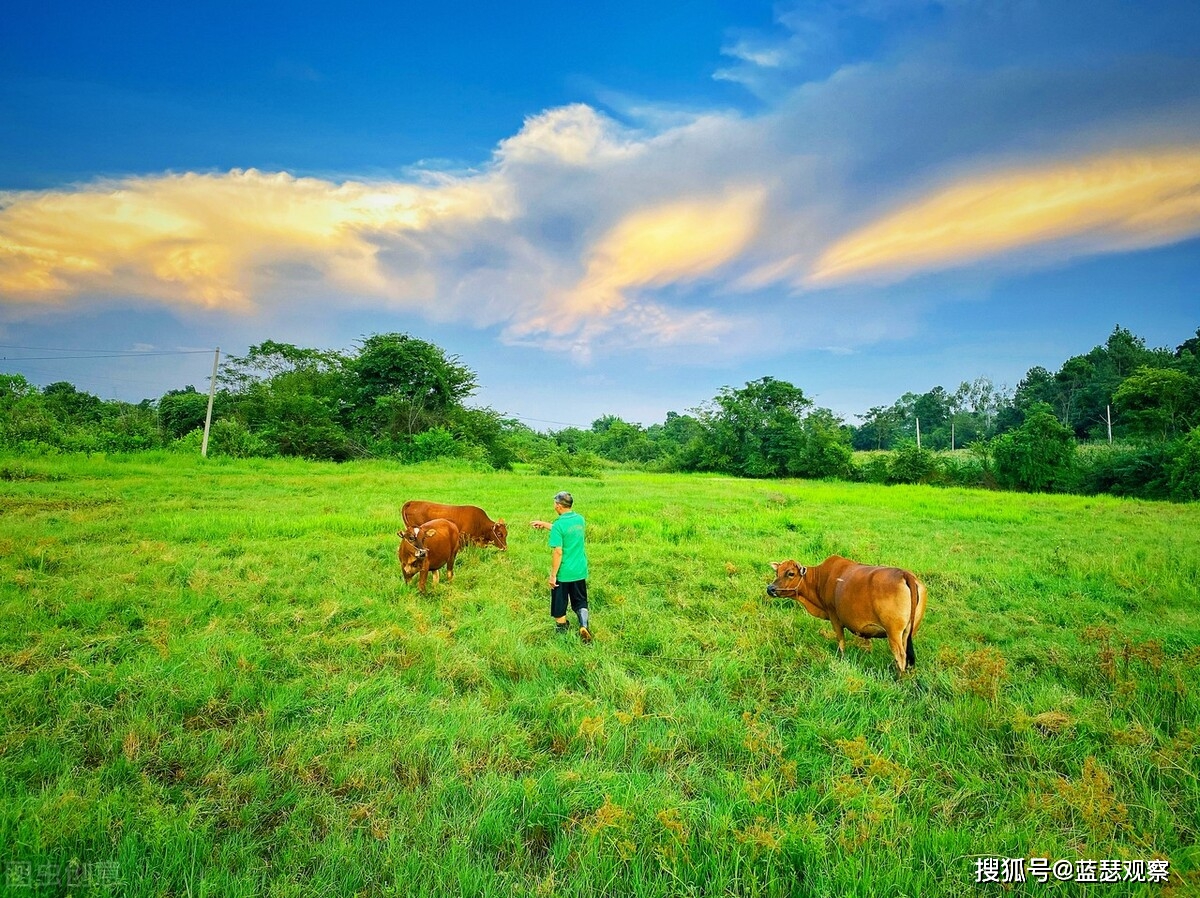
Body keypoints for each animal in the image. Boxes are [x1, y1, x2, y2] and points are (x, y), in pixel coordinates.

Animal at [768, 554, 926, 672]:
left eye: (790, 573)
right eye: (777, 572)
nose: (770, 589)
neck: (820, 579)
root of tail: (905, 574)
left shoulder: (834, 616)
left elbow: (841, 641)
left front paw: (842, 657)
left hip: (893, 633)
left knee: (901, 656)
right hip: (908, 632)